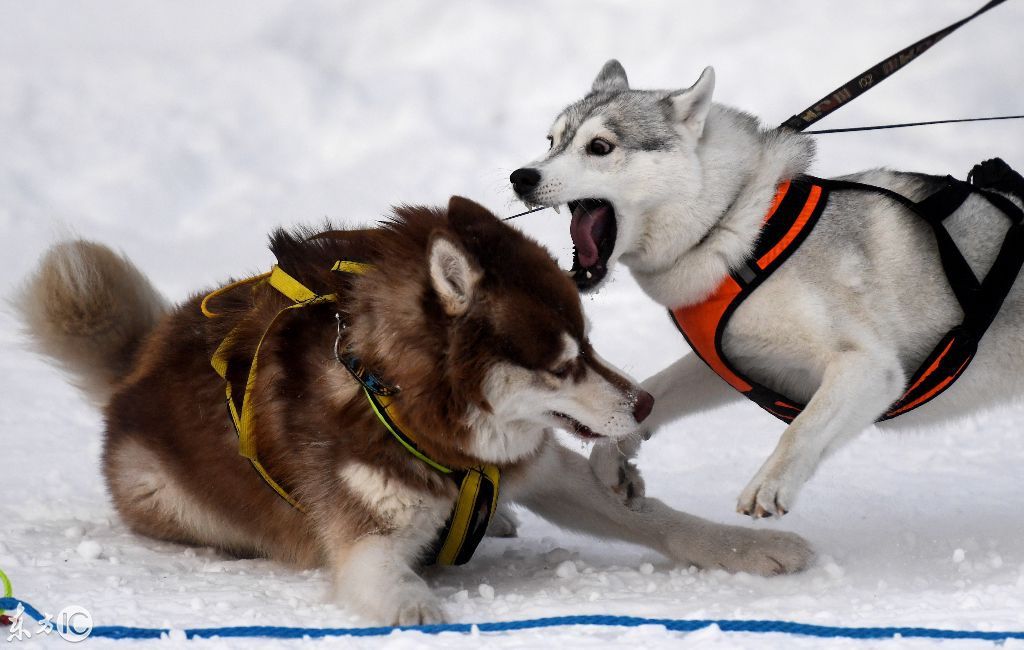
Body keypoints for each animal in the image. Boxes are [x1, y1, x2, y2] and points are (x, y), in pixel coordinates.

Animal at [16, 197, 811, 626]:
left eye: (589, 340)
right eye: (560, 365)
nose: (643, 401)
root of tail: (139, 366)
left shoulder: (539, 466)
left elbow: (665, 521)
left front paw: (749, 549)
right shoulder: (366, 540)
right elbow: (391, 585)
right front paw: (421, 605)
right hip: (168, 496)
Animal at [512, 59, 1024, 517]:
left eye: (600, 146)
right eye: (551, 141)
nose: (521, 176)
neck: (736, 225)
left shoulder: (869, 367)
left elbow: (803, 428)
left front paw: (770, 484)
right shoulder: (734, 361)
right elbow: (654, 390)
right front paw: (613, 461)